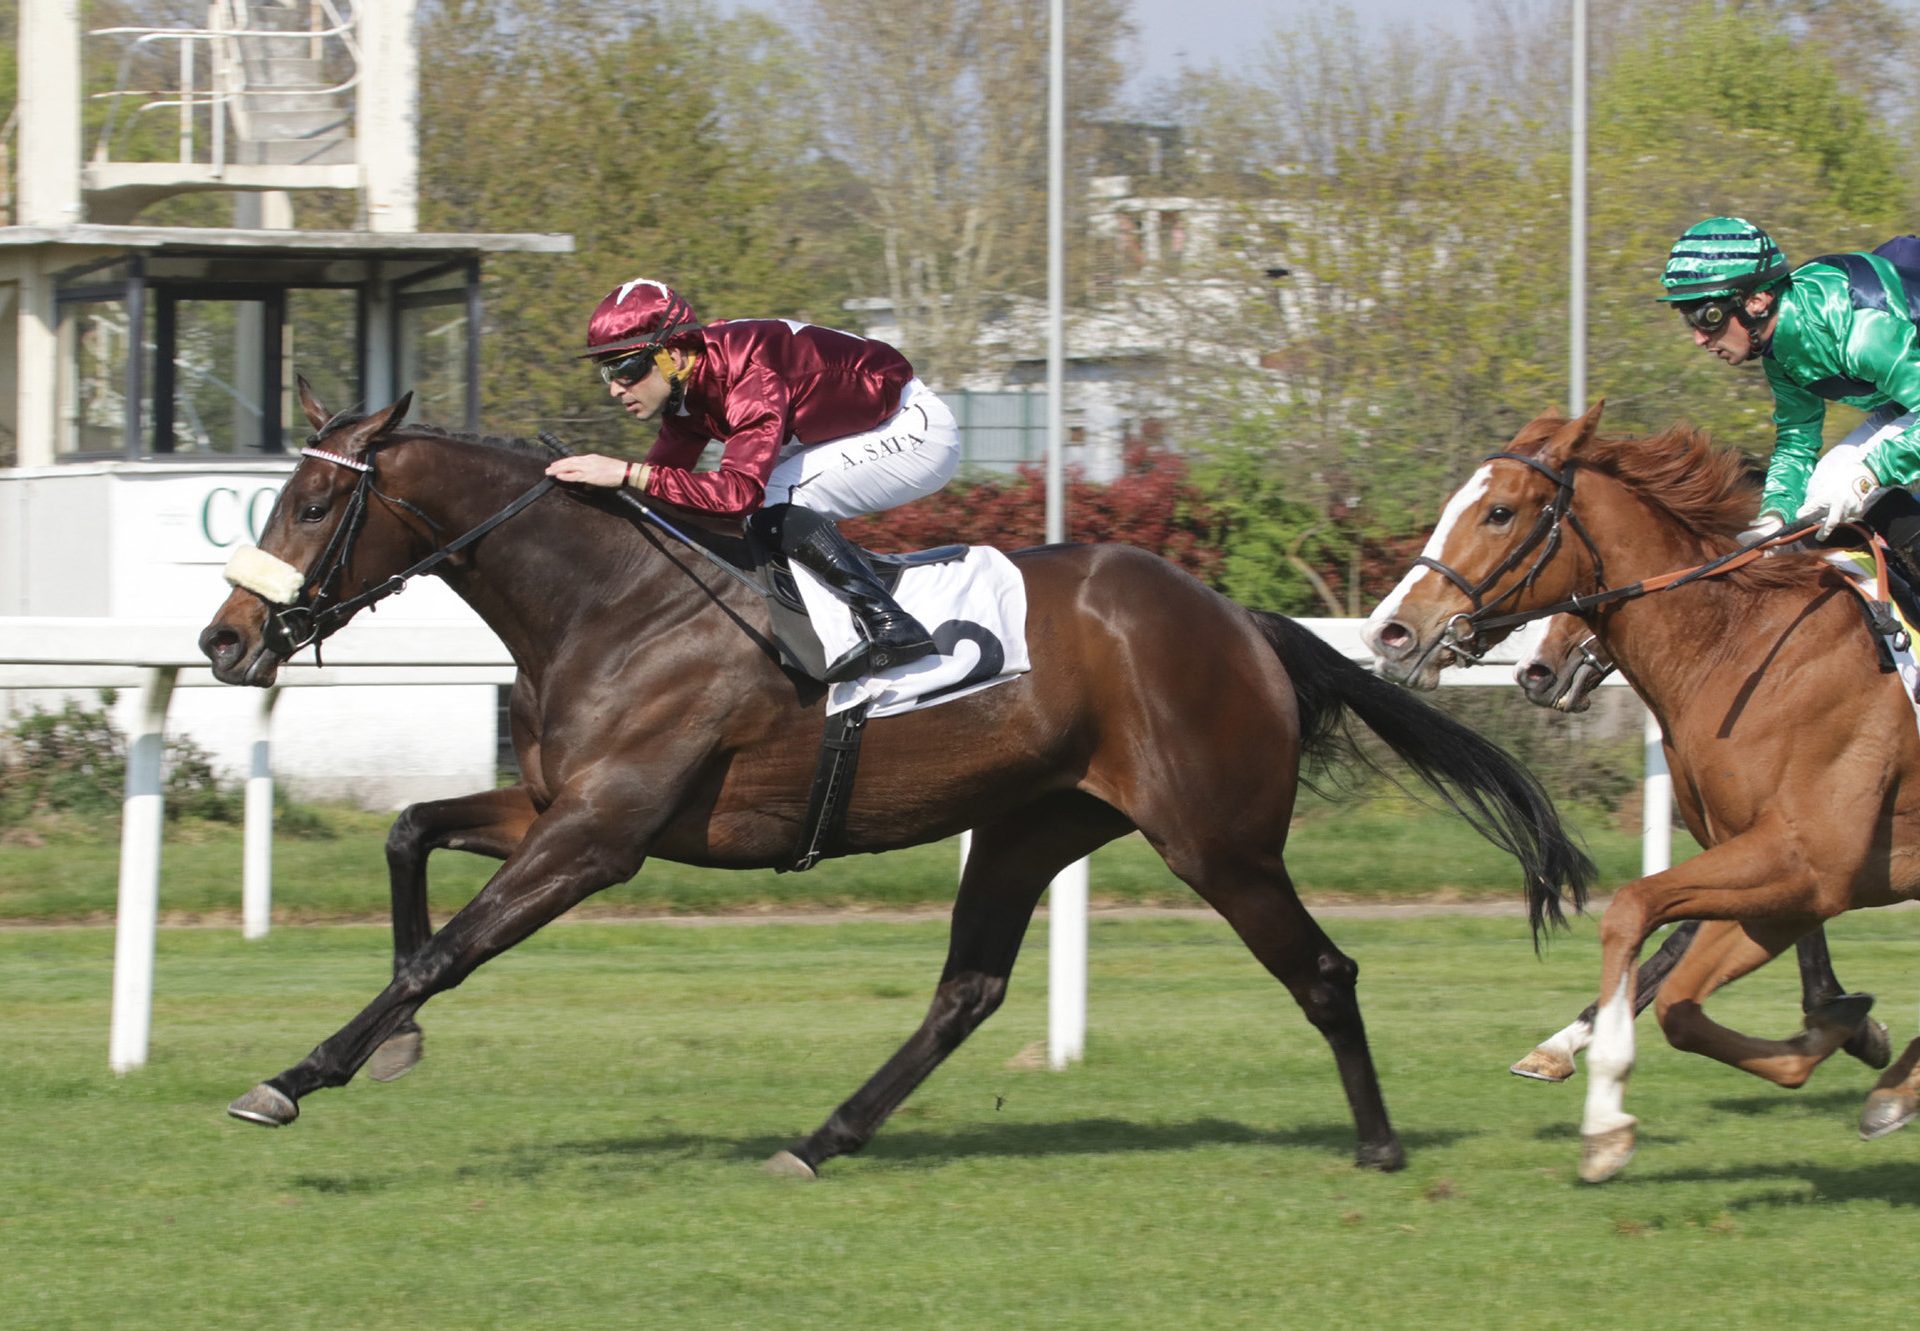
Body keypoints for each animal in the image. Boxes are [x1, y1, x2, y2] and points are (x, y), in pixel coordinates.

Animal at [194, 384, 1597, 1175]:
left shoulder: (602, 834)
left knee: (1324, 970)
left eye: (311, 506)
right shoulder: (558, 807)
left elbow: (447, 948)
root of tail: (1241, 620)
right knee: (966, 990)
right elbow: (408, 832)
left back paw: (1379, 1141)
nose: (221, 641)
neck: (612, 600)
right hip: (1033, 824)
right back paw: (821, 1139)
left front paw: (295, 1076)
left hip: (1219, 839)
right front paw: (392, 1042)